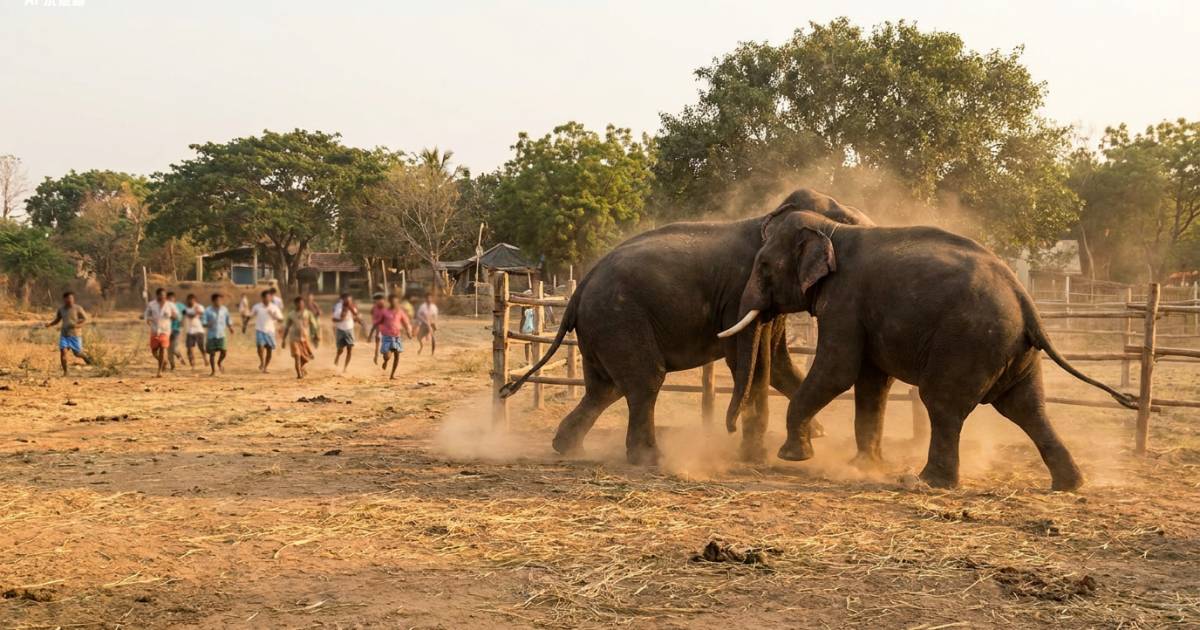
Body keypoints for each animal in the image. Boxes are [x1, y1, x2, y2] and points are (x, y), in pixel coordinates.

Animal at [501, 189, 873, 464]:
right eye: (841, 222)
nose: (730, 430)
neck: (771, 214)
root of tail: (580, 288)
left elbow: (776, 362)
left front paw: (817, 433)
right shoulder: (740, 289)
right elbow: (749, 363)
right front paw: (757, 457)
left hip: (600, 327)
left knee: (604, 389)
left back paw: (568, 448)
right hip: (618, 318)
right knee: (644, 380)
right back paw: (650, 459)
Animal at [717, 210, 1136, 490]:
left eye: (764, 265)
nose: (730, 428)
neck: (833, 230)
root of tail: (1026, 300)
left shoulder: (846, 300)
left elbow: (839, 370)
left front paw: (794, 455)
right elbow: (872, 383)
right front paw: (863, 465)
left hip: (969, 343)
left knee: (943, 402)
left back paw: (928, 482)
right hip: (1014, 352)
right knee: (1027, 407)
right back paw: (1070, 485)